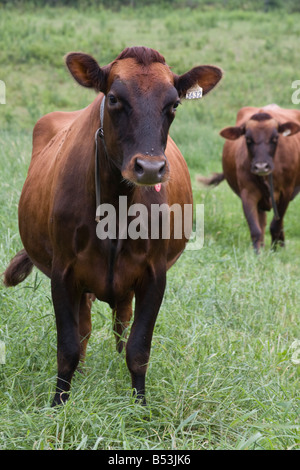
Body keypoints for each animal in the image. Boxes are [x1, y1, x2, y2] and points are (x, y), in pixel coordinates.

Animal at [199, 104, 300, 252]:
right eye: (248, 139)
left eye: (275, 138)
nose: (261, 166)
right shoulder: (248, 193)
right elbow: (256, 229)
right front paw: (258, 253)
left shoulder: (286, 192)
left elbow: (276, 225)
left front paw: (276, 251)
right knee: (262, 222)